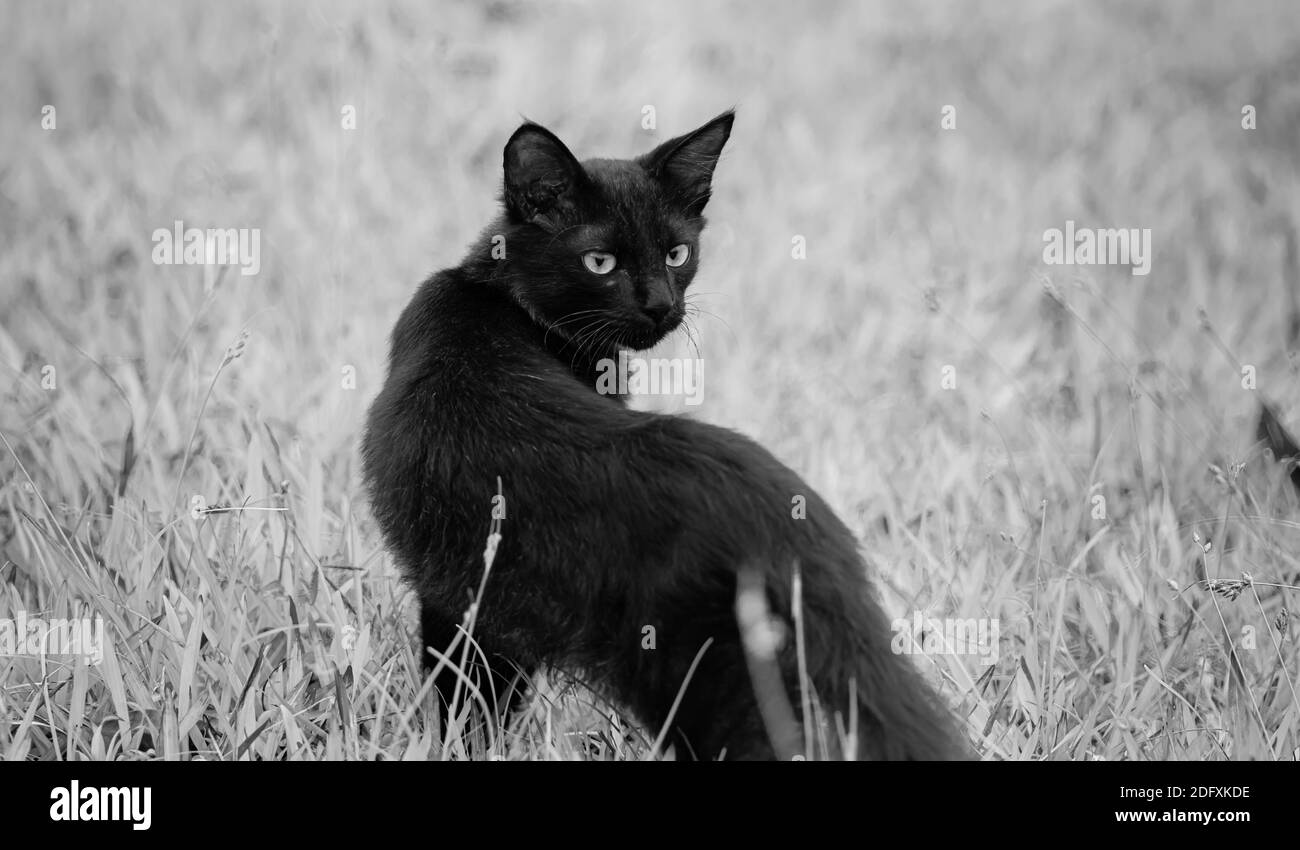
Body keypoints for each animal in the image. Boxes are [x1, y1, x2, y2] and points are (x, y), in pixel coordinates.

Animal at [361, 111, 972, 759]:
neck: (502, 297)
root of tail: (787, 526)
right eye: (599, 262)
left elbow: (465, 700)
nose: (660, 304)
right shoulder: (481, 596)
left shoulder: (458, 594)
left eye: (678, 253)